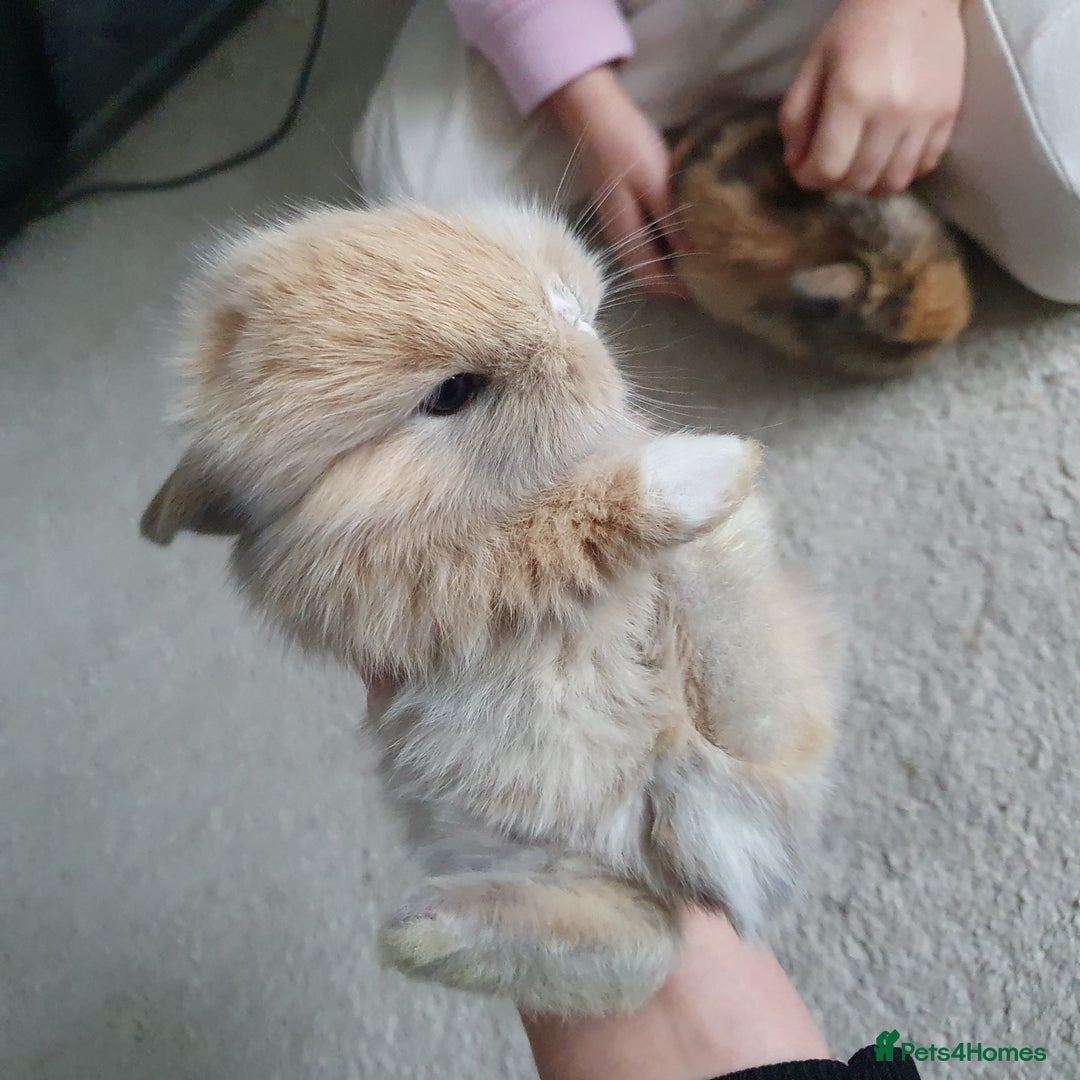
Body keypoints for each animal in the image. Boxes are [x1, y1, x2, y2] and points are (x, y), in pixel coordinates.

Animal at [140, 202, 839, 1016]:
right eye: (451, 394)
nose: (569, 311)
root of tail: (718, 845)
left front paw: (660, 449)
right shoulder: (435, 581)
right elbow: (561, 534)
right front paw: (657, 471)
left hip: (750, 714)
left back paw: (729, 477)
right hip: (565, 866)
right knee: (641, 944)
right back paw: (423, 930)